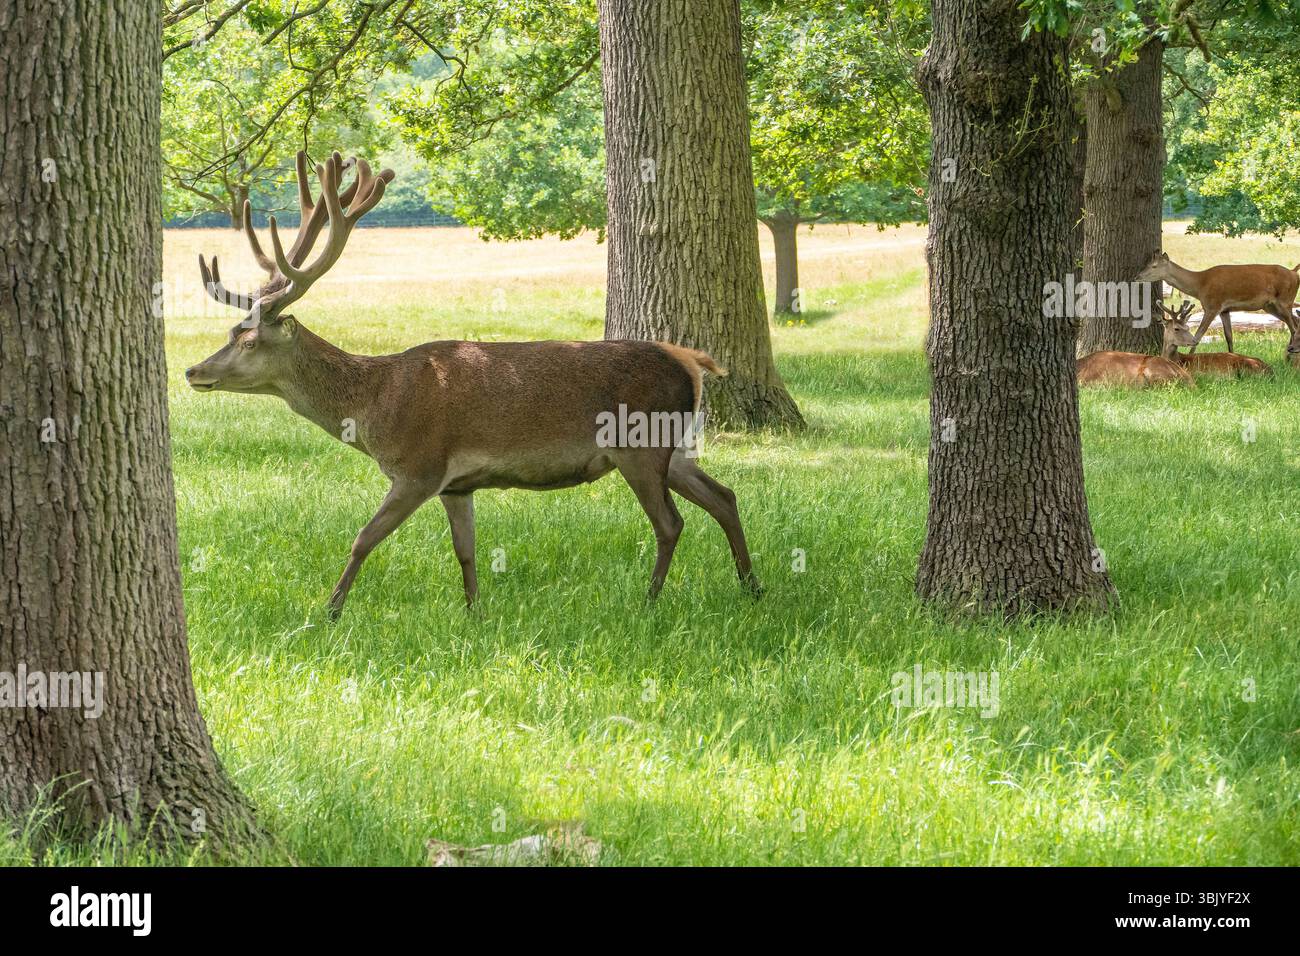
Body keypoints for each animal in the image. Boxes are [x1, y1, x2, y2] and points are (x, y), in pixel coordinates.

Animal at [185, 151, 759, 618]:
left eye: (249, 339)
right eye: (230, 331)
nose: (193, 371)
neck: (374, 408)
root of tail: (690, 361)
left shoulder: (419, 467)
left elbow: (362, 539)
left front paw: (329, 611)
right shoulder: (457, 484)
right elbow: (466, 550)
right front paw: (474, 612)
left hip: (638, 444)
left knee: (671, 523)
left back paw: (650, 601)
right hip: (676, 447)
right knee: (725, 496)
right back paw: (751, 587)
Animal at [1135, 252, 1300, 359]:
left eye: (1154, 266)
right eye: (1147, 264)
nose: (1137, 276)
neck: (1199, 286)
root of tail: (1294, 273)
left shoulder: (1212, 306)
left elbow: (1198, 335)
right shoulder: (1224, 310)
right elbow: (1229, 336)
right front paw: (1233, 356)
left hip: (1285, 300)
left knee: (1293, 327)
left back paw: (1288, 356)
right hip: (1270, 306)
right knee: (1295, 323)